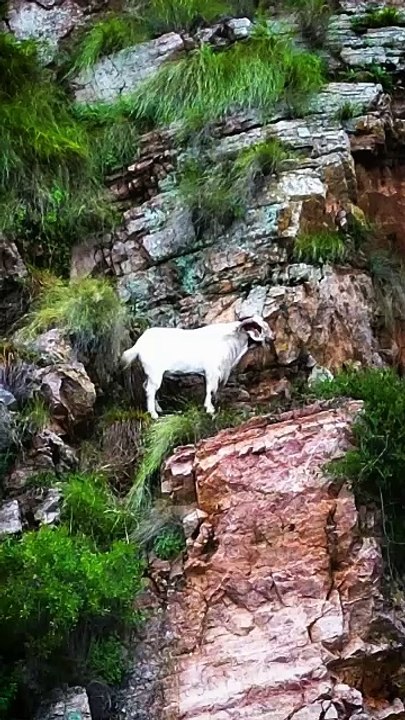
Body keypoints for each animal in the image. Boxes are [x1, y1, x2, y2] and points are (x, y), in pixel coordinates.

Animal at [121, 315, 274, 420]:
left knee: (147, 387)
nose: (272, 337)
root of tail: (139, 345)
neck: (229, 341)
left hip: (151, 374)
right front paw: (210, 409)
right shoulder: (212, 372)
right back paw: (154, 414)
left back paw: (158, 409)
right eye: (261, 328)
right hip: (155, 372)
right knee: (150, 390)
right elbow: (210, 390)